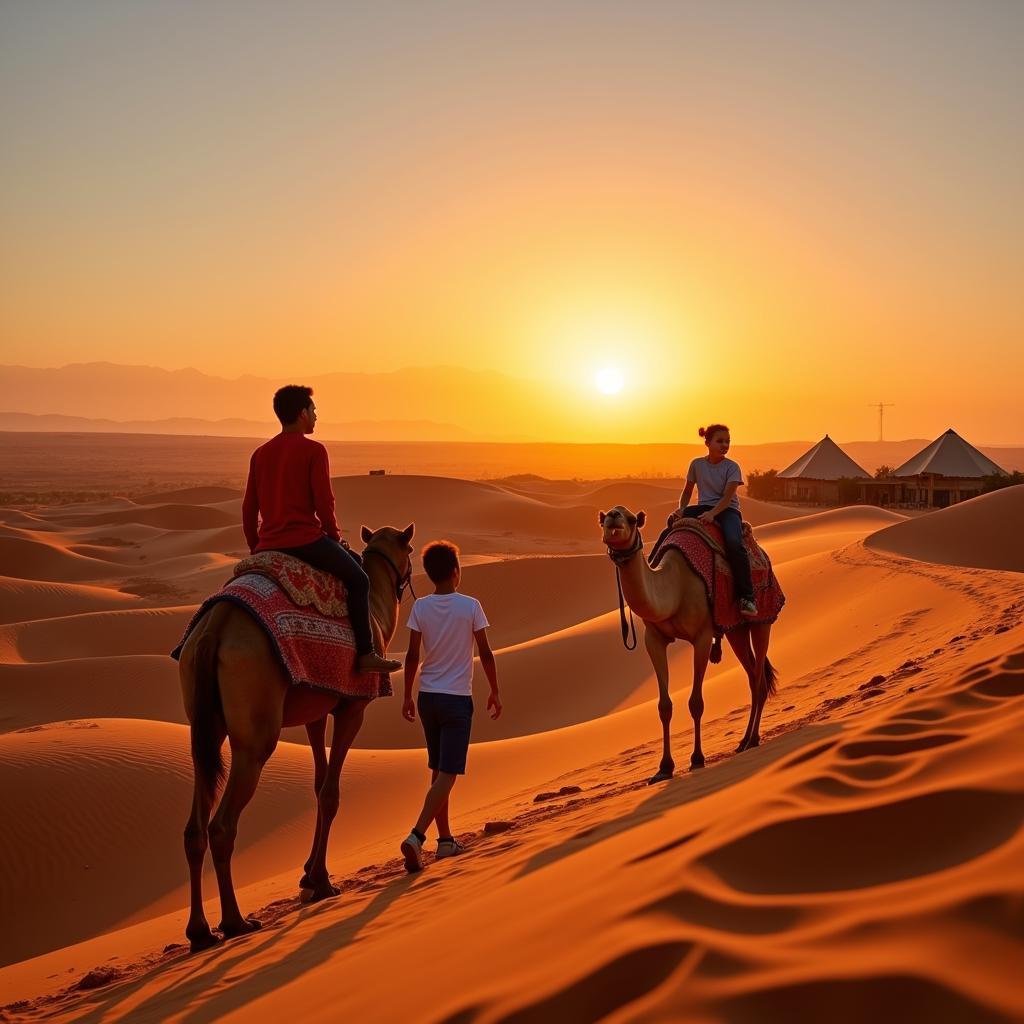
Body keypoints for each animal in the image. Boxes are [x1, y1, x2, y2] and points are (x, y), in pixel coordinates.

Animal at [178, 524, 413, 954]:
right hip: (254, 735)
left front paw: (309, 875)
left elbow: (318, 786)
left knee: (194, 827)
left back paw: (200, 932)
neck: (374, 605)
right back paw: (236, 922)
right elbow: (331, 793)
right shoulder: (352, 708)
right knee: (222, 824)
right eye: (410, 550)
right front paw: (319, 881)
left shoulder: (316, 710)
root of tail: (213, 631)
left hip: (203, 725)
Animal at [598, 505, 774, 782]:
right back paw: (743, 741)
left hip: (761, 621)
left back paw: (753, 739)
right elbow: (664, 706)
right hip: (735, 630)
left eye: (632, 519)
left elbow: (696, 702)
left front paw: (697, 759)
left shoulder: (702, 637)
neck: (674, 587)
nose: (614, 517)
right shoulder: (653, 639)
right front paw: (664, 768)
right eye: (603, 519)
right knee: (752, 675)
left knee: (759, 680)